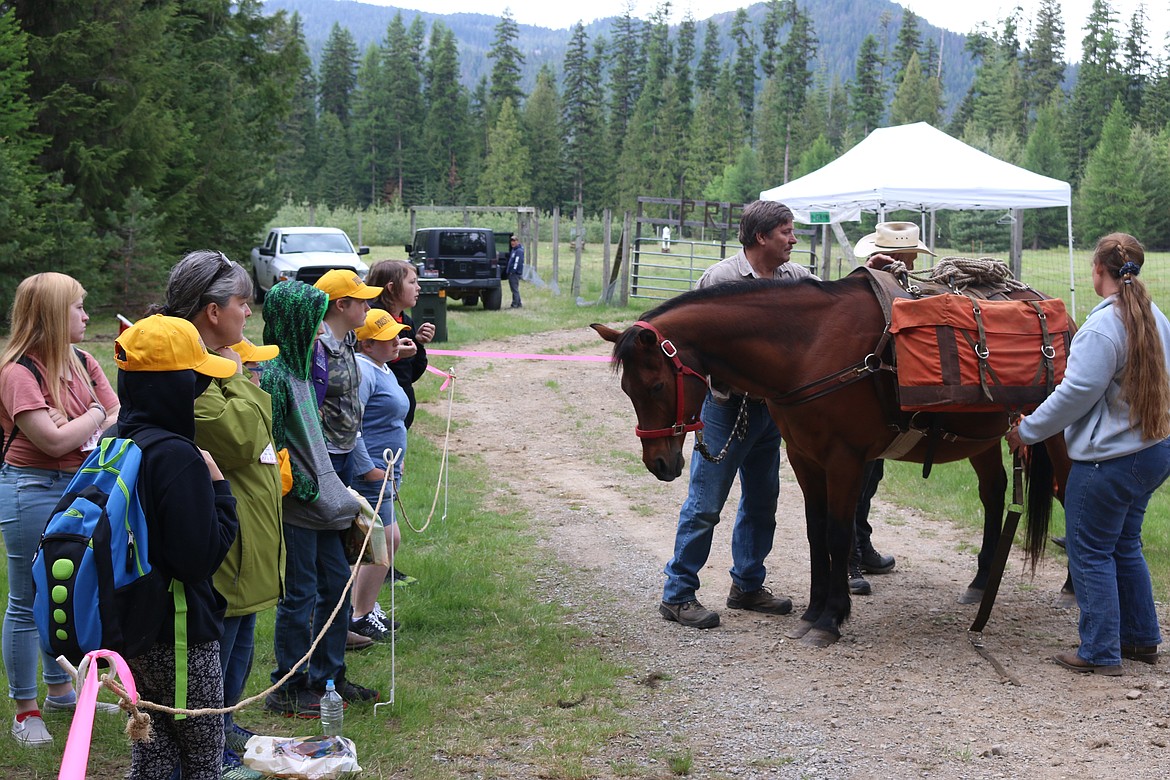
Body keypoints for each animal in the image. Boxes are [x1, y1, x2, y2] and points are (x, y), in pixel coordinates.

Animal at [599, 271, 1067, 650]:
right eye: (627, 389)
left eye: (657, 386)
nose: (659, 462)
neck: (811, 345)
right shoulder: (805, 459)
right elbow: (815, 533)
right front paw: (814, 610)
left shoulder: (845, 461)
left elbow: (839, 535)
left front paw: (831, 618)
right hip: (983, 440)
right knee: (994, 494)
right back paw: (981, 582)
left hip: (1058, 438)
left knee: (1069, 494)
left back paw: (1071, 590)